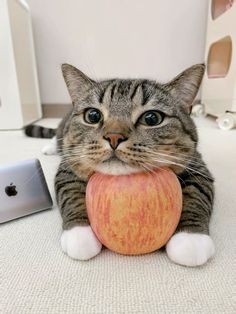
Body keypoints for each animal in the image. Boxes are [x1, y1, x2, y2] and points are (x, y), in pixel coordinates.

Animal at [24, 63, 215, 268]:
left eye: (152, 118)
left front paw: (191, 239)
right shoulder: (67, 167)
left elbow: (197, 195)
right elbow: (70, 193)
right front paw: (79, 235)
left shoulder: (197, 166)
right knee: (57, 135)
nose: (114, 136)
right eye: (92, 115)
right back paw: (50, 147)